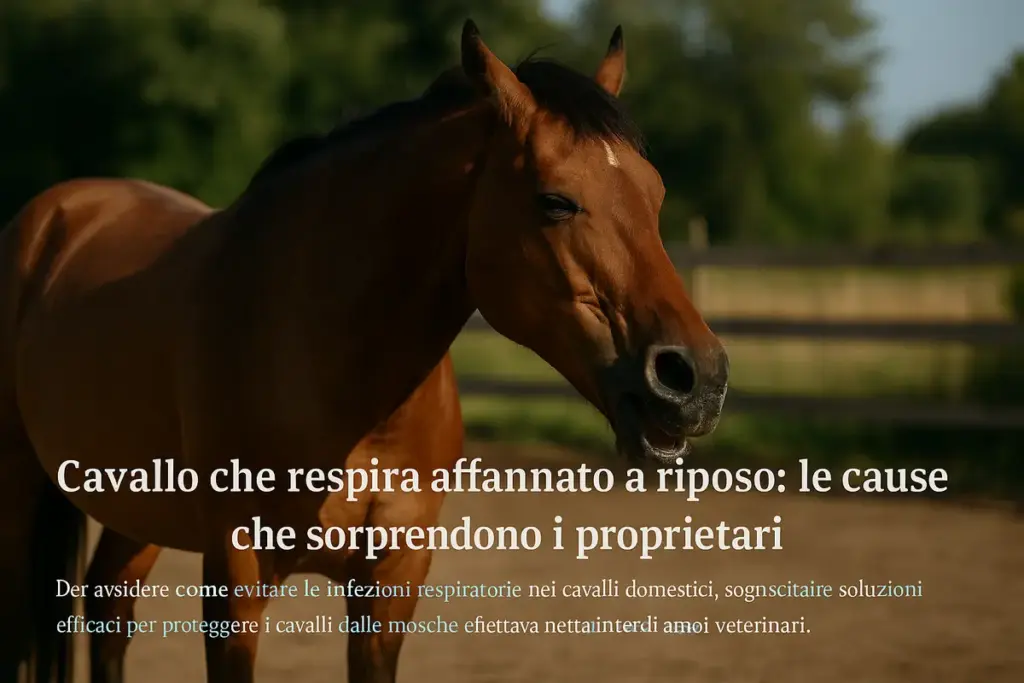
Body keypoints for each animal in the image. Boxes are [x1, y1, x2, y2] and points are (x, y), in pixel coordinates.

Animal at [0, 19, 728, 683]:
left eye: (655, 194)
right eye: (555, 201)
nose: (695, 378)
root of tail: (54, 214)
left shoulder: (391, 580)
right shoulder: (236, 574)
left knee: (109, 609)